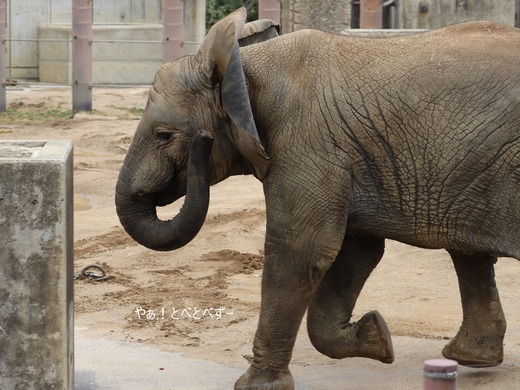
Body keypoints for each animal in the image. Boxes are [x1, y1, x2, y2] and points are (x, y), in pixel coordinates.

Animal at [115, 6, 520, 390]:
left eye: (164, 135)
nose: (202, 141)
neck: (246, 65)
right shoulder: (347, 157)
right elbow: (355, 250)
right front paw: (378, 336)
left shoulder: (307, 142)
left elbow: (302, 249)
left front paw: (257, 386)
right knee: (468, 254)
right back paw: (468, 357)